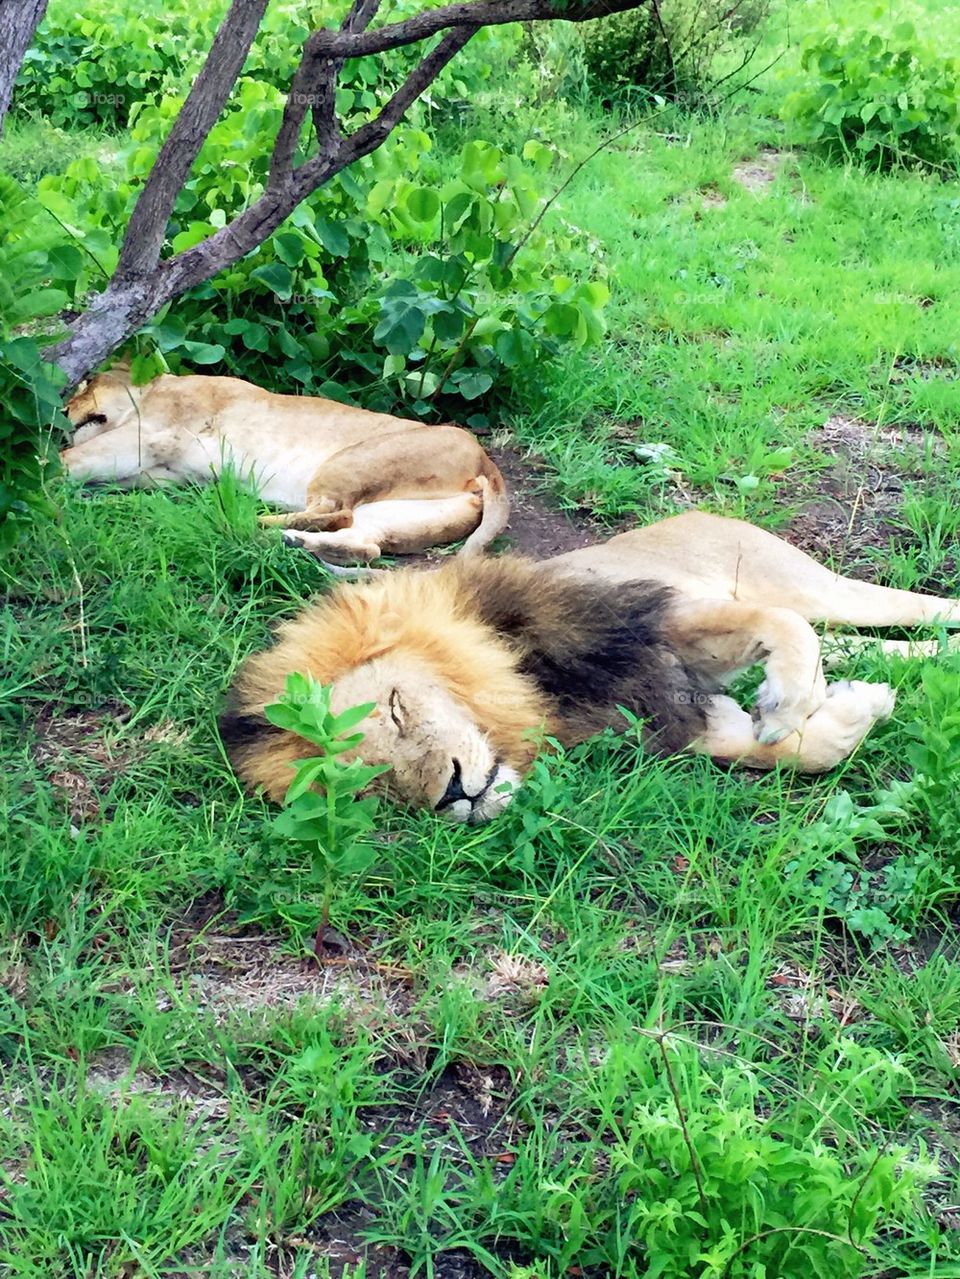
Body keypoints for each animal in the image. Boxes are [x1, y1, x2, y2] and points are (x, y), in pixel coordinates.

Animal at [62, 368, 509, 562]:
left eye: (87, 382)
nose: (63, 409)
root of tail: (484, 459)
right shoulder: (163, 473)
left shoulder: (149, 433)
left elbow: (75, 458)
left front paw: (50, 479)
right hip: (401, 514)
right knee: (364, 542)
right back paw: (285, 539)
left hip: (349, 461)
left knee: (335, 511)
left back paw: (237, 520)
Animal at [221, 511, 960, 823]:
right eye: (372, 783)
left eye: (398, 708)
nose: (454, 793)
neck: (524, 682)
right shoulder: (663, 713)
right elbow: (777, 751)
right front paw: (857, 708)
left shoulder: (659, 619)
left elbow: (781, 633)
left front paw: (791, 702)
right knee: (871, 642)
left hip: (813, 584)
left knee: (893, 611)